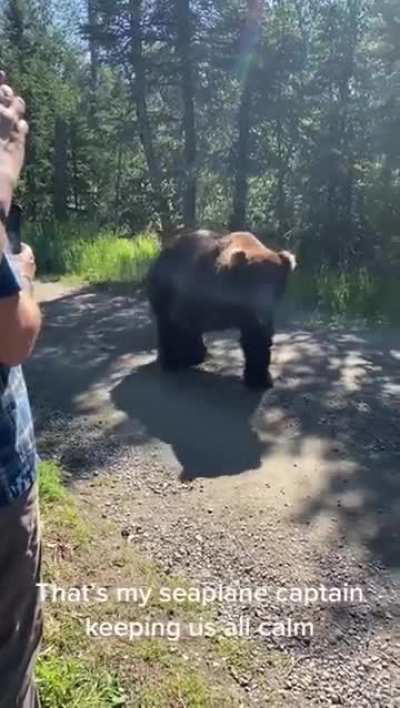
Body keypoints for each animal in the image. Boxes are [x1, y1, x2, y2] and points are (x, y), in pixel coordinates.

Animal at [147, 229, 296, 389]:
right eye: (255, 282)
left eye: (275, 283)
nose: (264, 306)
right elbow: (178, 320)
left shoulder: (251, 313)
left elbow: (257, 338)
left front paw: (260, 380)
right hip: (165, 284)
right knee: (167, 321)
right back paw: (172, 359)